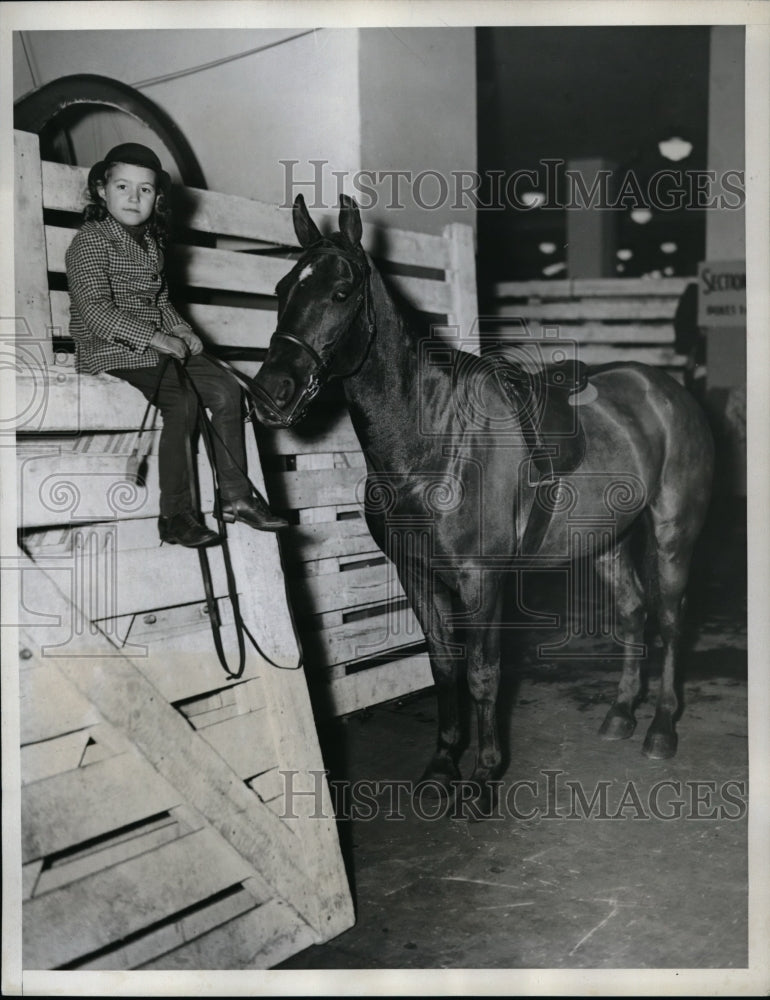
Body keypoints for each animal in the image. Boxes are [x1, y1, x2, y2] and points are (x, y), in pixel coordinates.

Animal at [254, 195, 712, 812]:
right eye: (283, 288)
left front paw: (484, 774)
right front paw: (443, 763)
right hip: (606, 542)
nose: (269, 392)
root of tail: (668, 391)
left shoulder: (481, 579)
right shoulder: (418, 574)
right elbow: (443, 666)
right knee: (634, 612)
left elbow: (482, 672)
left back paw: (661, 727)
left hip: (671, 536)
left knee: (668, 620)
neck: (434, 444)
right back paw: (620, 713)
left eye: (342, 291)